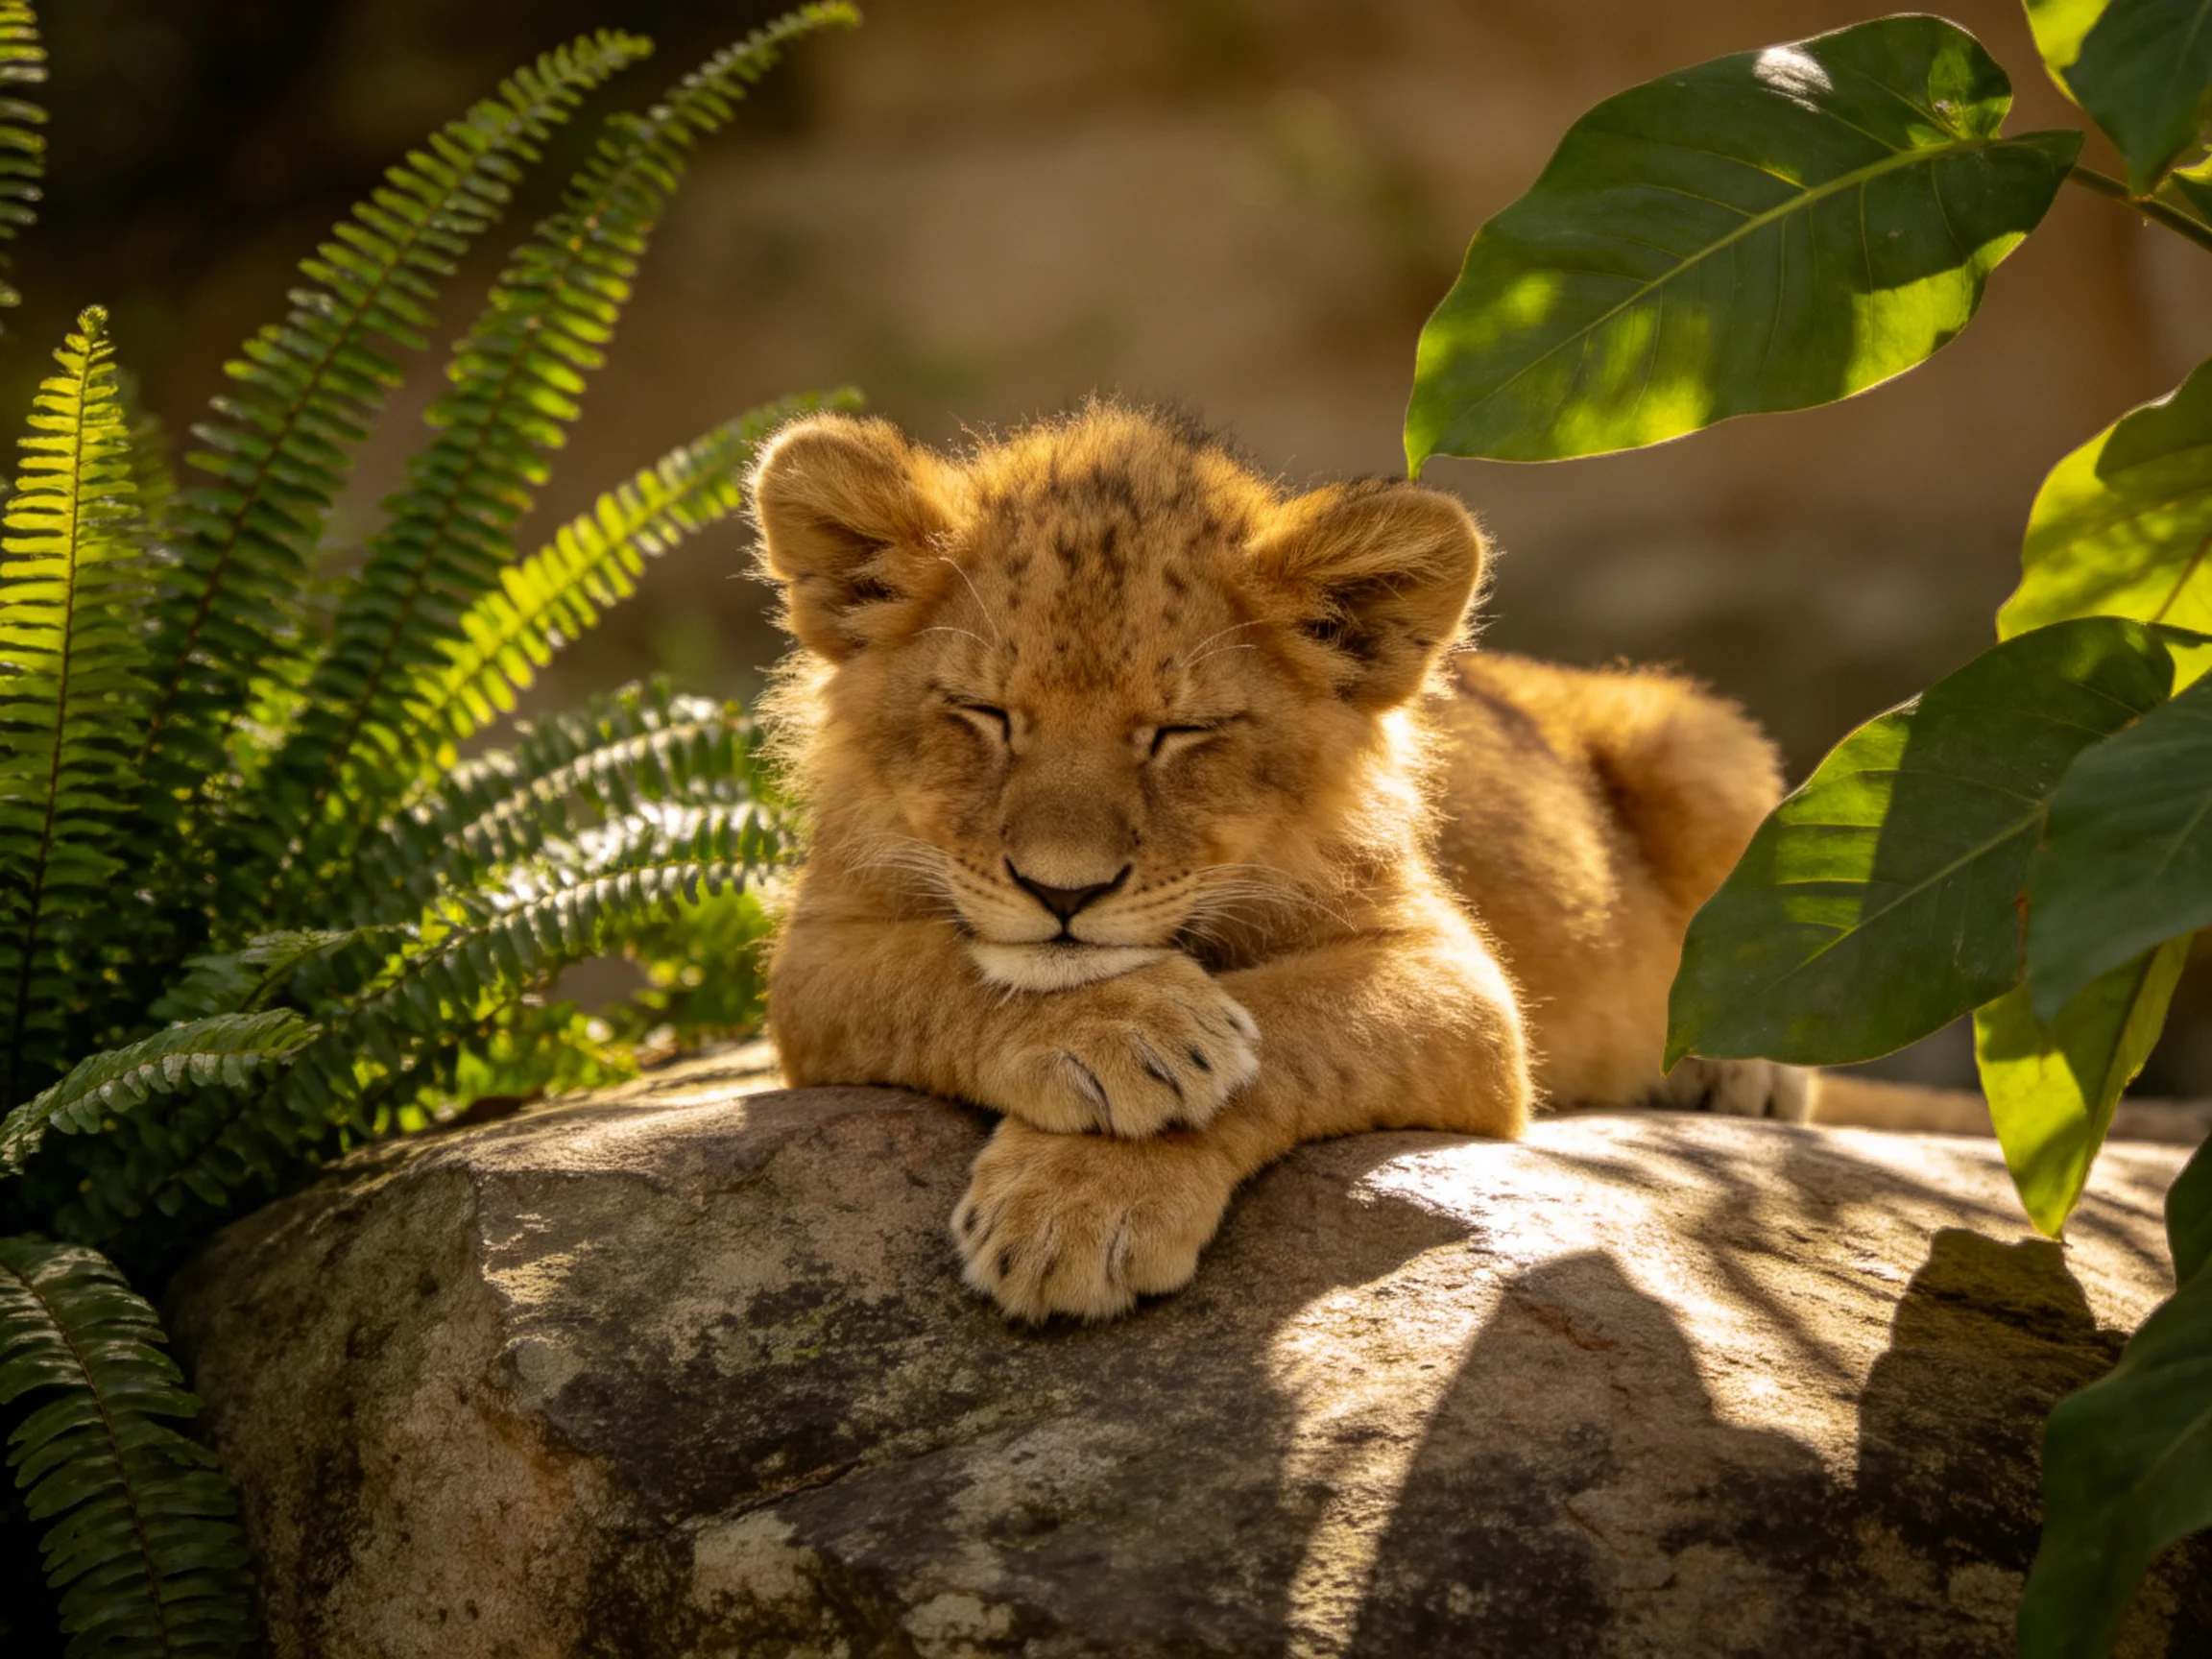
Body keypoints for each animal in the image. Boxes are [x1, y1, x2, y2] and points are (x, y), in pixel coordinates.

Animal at [750, 402, 1811, 1323]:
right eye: (985, 714)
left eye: (1182, 733)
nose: (1063, 890)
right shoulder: (817, 954)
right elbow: (936, 975)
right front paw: (1122, 1034)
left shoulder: (1458, 987)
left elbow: (1292, 1029)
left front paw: (1080, 1202)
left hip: (1699, 744)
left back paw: (1742, 1073)